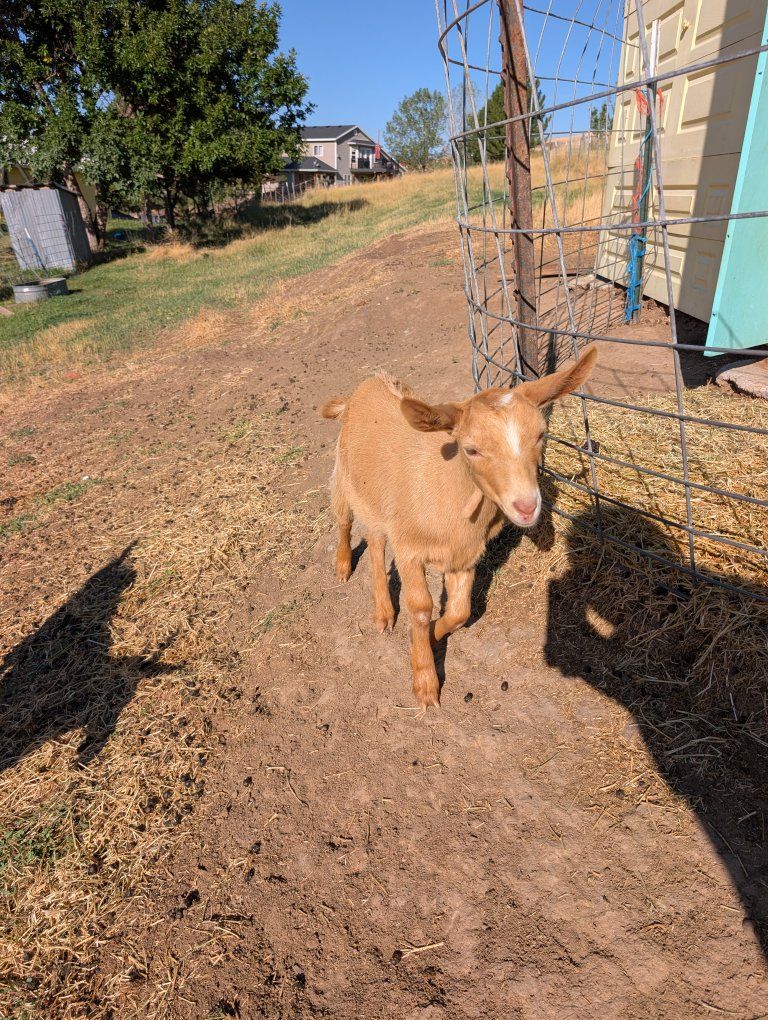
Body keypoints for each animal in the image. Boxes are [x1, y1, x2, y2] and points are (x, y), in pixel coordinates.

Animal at [320, 346, 597, 707]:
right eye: (471, 449)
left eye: (540, 435)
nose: (526, 506)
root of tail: (366, 385)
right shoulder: (409, 549)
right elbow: (420, 608)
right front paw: (425, 682)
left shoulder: (464, 554)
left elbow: (459, 611)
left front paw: (431, 636)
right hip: (344, 474)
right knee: (345, 519)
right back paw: (344, 568)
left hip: (378, 498)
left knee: (376, 539)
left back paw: (383, 610)